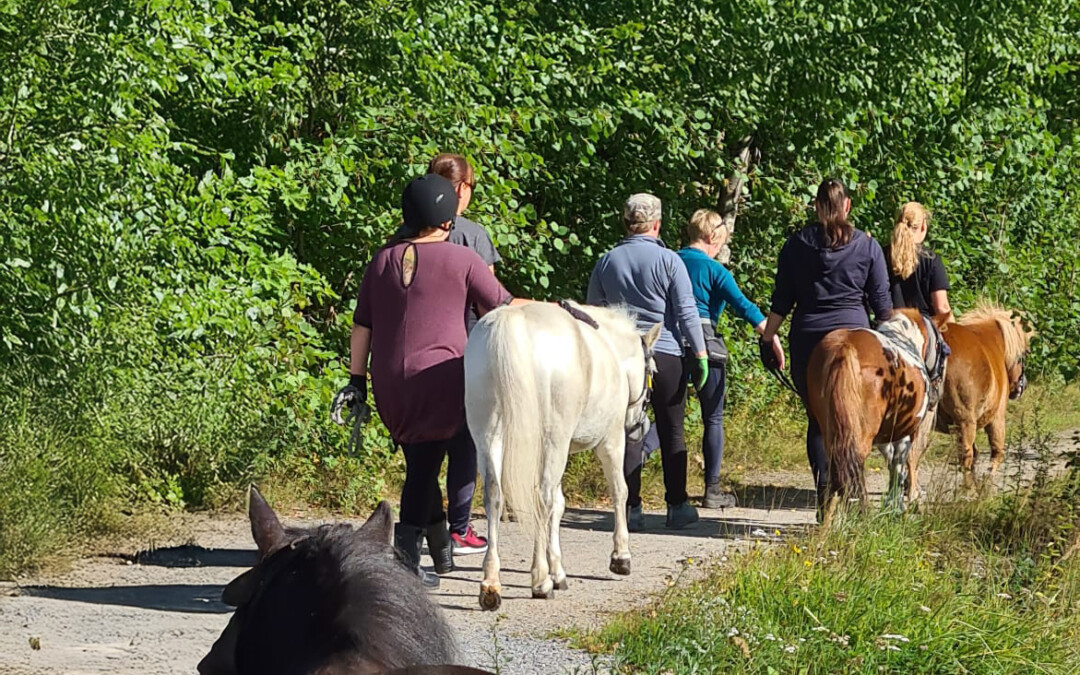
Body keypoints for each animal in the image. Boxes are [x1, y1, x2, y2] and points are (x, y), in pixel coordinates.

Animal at [466, 302, 660, 609]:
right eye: (651, 370)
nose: (639, 427)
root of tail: (512, 322)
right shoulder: (610, 441)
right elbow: (619, 491)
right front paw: (621, 557)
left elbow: (558, 505)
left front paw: (557, 569)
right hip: (552, 438)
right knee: (540, 498)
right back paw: (539, 581)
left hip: (487, 435)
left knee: (495, 496)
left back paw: (491, 585)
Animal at [803, 306, 946, 520]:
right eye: (940, 348)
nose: (936, 395)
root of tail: (845, 348)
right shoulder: (904, 433)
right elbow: (899, 466)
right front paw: (899, 506)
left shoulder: (884, 436)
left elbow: (892, 463)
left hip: (830, 431)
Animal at [933, 300, 1032, 483]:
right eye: (1021, 355)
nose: (1023, 385)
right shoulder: (997, 417)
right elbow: (996, 452)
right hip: (965, 420)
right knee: (966, 456)